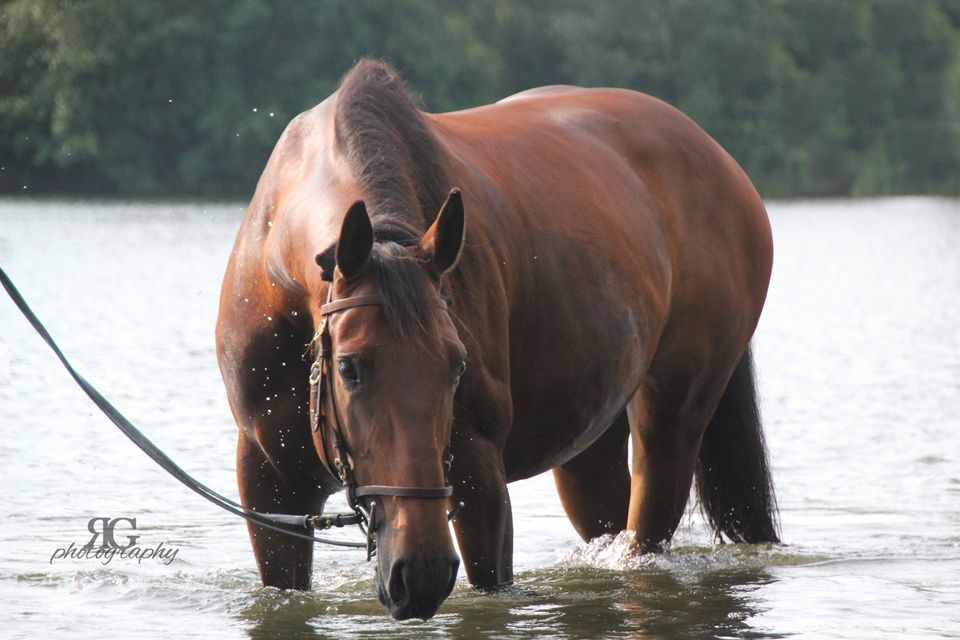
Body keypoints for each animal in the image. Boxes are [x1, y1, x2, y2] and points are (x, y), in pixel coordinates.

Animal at [214, 61, 776, 620]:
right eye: (350, 368)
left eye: (457, 366)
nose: (419, 572)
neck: (277, 280)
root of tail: (720, 159)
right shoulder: (270, 490)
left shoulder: (479, 475)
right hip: (589, 445)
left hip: (671, 423)